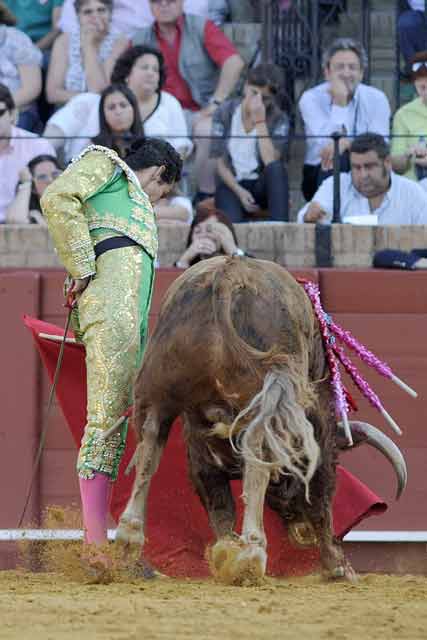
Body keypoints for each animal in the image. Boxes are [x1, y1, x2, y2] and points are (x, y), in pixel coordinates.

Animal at [114, 258, 408, 584]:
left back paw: (129, 539)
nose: (300, 533)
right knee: (258, 456)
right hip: (267, 396)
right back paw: (253, 554)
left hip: (157, 387)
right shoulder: (317, 429)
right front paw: (339, 566)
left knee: (150, 443)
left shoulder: (199, 444)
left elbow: (218, 504)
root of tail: (228, 272)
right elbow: (320, 493)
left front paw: (225, 552)